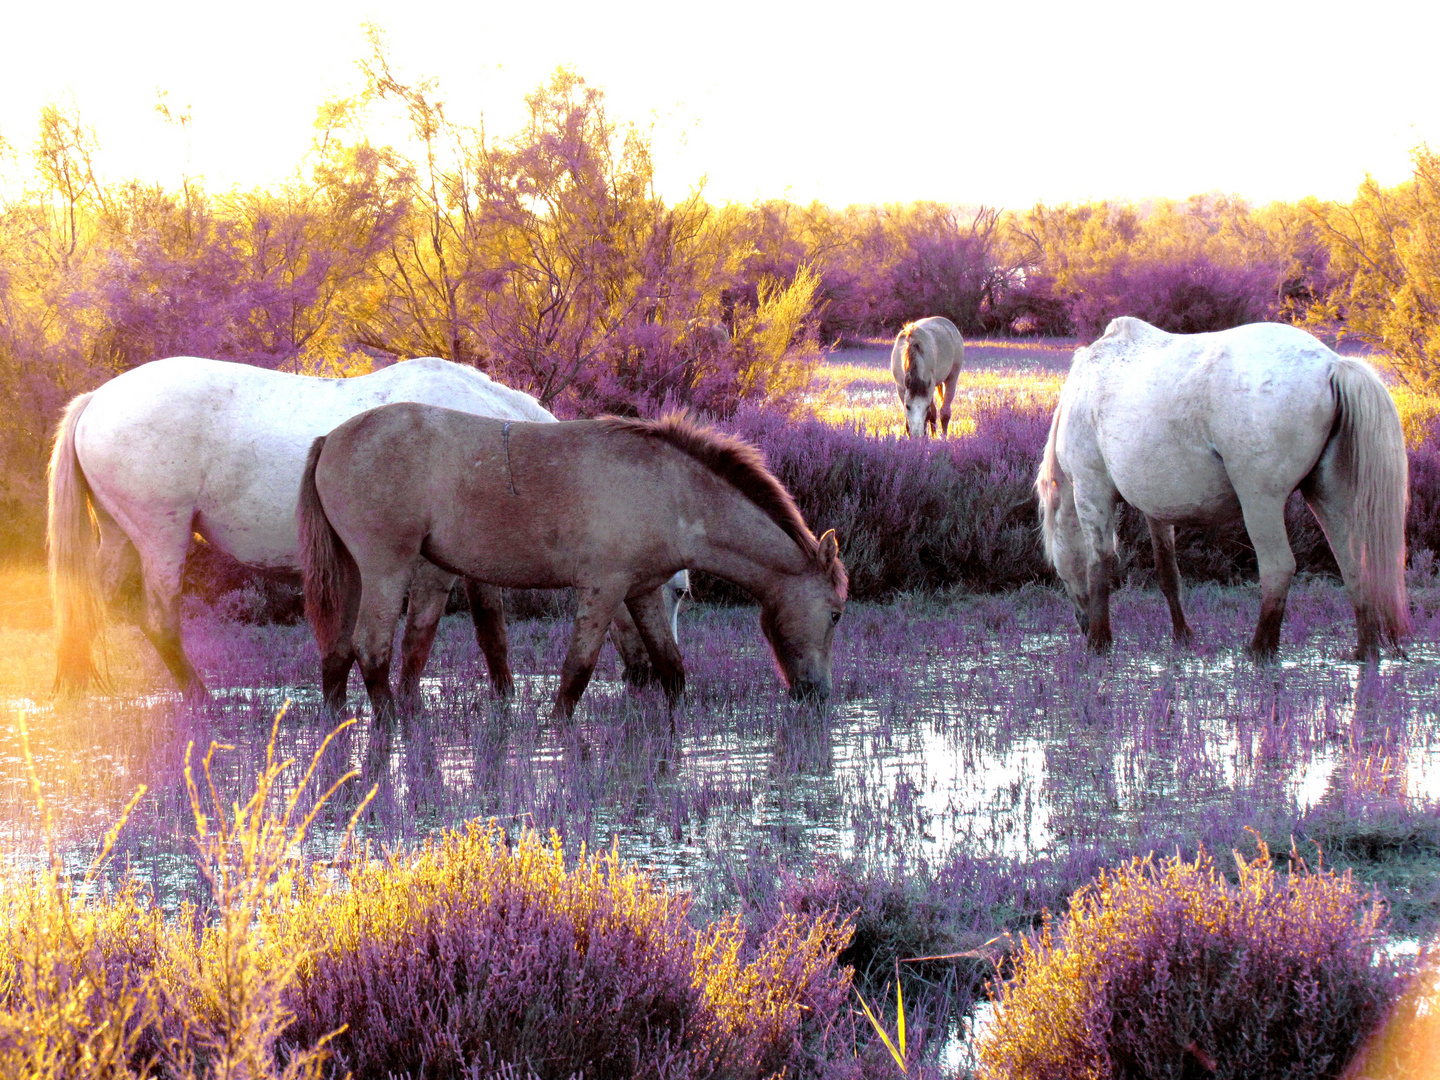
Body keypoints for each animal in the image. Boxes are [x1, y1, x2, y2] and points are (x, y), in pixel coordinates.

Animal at [47, 355, 688, 702]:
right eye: (675, 590)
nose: (650, 677)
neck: (491, 440)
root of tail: (99, 398)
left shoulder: (475, 564)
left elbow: (492, 634)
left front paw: (503, 700)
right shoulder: (429, 569)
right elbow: (420, 642)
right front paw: (408, 706)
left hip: (123, 537)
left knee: (90, 604)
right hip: (163, 538)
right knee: (159, 620)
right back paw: (205, 702)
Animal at [298, 408, 846, 722]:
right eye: (837, 613)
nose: (817, 694)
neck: (672, 490)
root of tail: (331, 438)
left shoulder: (641, 591)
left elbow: (671, 669)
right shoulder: (603, 589)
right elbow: (575, 674)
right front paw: (557, 731)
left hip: (352, 573)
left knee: (338, 651)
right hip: (386, 570)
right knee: (371, 649)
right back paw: (390, 726)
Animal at [1036, 316, 1405, 665]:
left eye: (1059, 571)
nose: (1083, 624)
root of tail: (1332, 364)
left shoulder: (1091, 491)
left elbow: (1099, 565)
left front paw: (1099, 644)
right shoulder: (1158, 511)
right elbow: (1168, 573)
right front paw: (1182, 636)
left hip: (1261, 503)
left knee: (1278, 568)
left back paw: (1260, 649)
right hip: (1327, 498)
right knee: (1354, 566)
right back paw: (1365, 651)